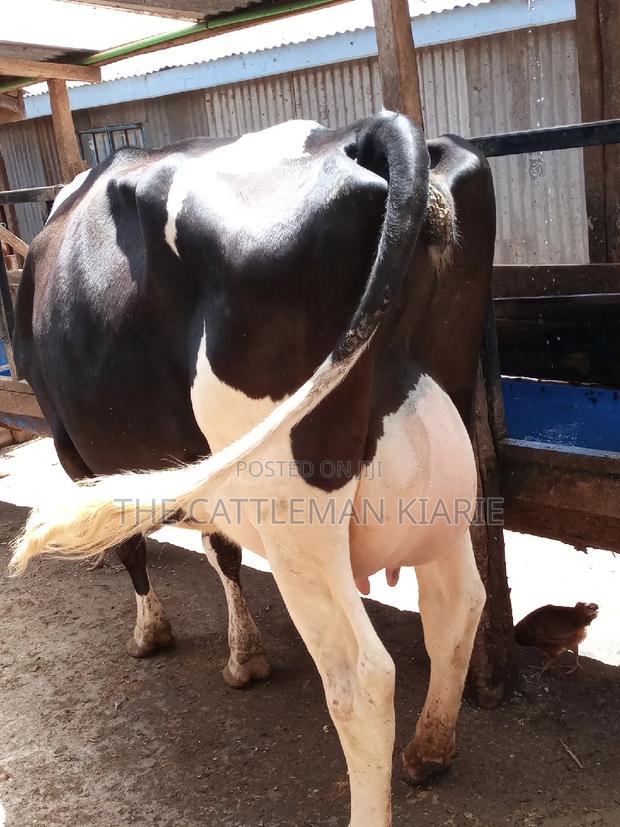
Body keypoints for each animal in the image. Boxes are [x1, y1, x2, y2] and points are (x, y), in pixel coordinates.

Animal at [10, 111, 495, 825]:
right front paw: (246, 656)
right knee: (457, 607)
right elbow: (222, 549)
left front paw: (151, 633)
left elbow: (133, 548)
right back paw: (430, 750)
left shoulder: (76, 452)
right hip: (442, 465)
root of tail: (364, 132)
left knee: (362, 677)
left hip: (294, 505)